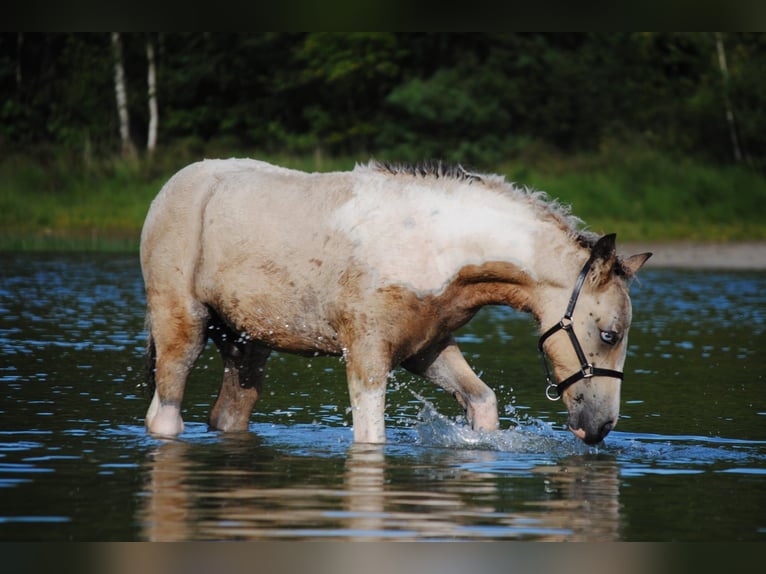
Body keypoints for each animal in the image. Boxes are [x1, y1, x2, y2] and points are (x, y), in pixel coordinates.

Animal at [140, 158, 651, 445]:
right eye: (609, 334)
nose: (600, 427)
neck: (438, 246)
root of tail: (169, 189)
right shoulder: (367, 355)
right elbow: (371, 438)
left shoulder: (425, 347)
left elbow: (482, 403)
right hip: (182, 325)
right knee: (163, 417)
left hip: (246, 343)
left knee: (228, 416)